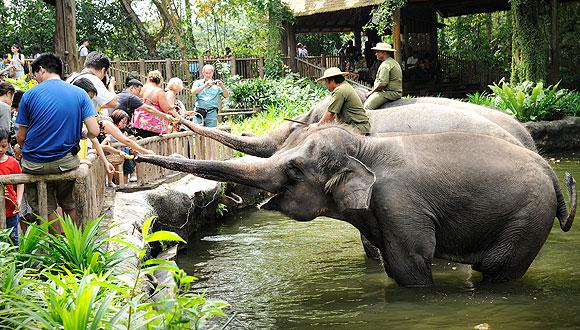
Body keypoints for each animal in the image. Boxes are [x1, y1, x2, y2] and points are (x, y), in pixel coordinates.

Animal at [136, 125, 576, 288]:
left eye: (294, 169)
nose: (133, 153)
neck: (365, 147)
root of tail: (552, 172)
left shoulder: (399, 204)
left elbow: (409, 266)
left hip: (527, 219)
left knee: (499, 271)